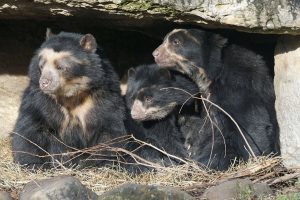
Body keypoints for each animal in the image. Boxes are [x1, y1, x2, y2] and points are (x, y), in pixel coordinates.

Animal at [11, 28, 126, 169]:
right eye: (41, 66)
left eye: (60, 67)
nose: (44, 83)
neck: (71, 93)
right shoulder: (38, 99)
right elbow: (30, 128)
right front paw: (32, 163)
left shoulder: (104, 97)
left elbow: (109, 130)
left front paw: (98, 163)